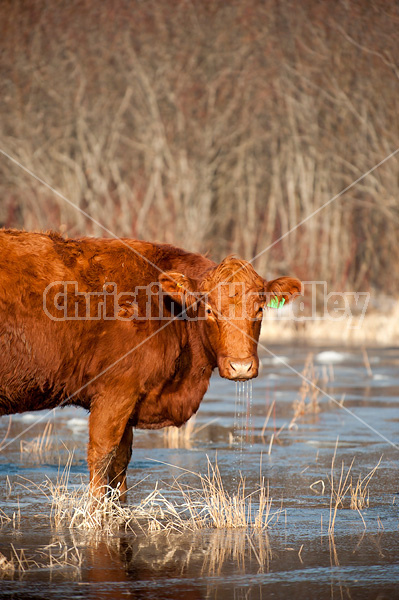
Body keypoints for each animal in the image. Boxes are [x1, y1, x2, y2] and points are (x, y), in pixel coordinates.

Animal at [0, 231, 302, 502]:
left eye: (260, 309)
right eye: (209, 310)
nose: (241, 366)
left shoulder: (130, 401)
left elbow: (120, 465)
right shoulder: (115, 392)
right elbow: (101, 457)